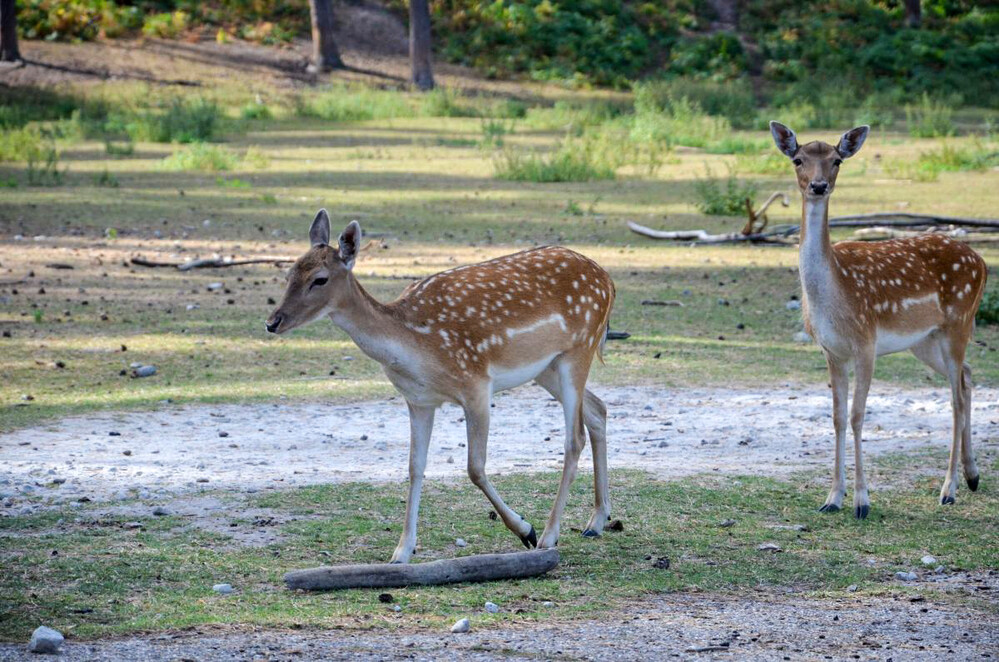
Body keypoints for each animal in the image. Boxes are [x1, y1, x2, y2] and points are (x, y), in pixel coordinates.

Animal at [264, 210, 616, 564]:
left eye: (319, 279)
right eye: (290, 272)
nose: (272, 322)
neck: (417, 346)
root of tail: (608, 280)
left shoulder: (476, 384)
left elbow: (474, 468)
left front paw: (524, 529)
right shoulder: (419, 400)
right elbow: (414, 467)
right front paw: (402, 551)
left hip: (579, 349)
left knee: (574, 438)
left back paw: (548, 535)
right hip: (546, 368)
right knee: (597, 409)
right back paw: (595, 522)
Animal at [768, 122, 988, 520]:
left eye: (837, 160)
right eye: (798, 159)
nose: (818, 186)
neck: (834, 296)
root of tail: (981, 262)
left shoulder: (866, 343)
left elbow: (858, 416)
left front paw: (861, 502)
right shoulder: (831, 350)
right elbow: (837, 417)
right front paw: (832, 498)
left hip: (959, 321)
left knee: (956, 398)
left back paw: (948, 490)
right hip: (924, 341)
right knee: (966, 376)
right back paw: (972, 475)